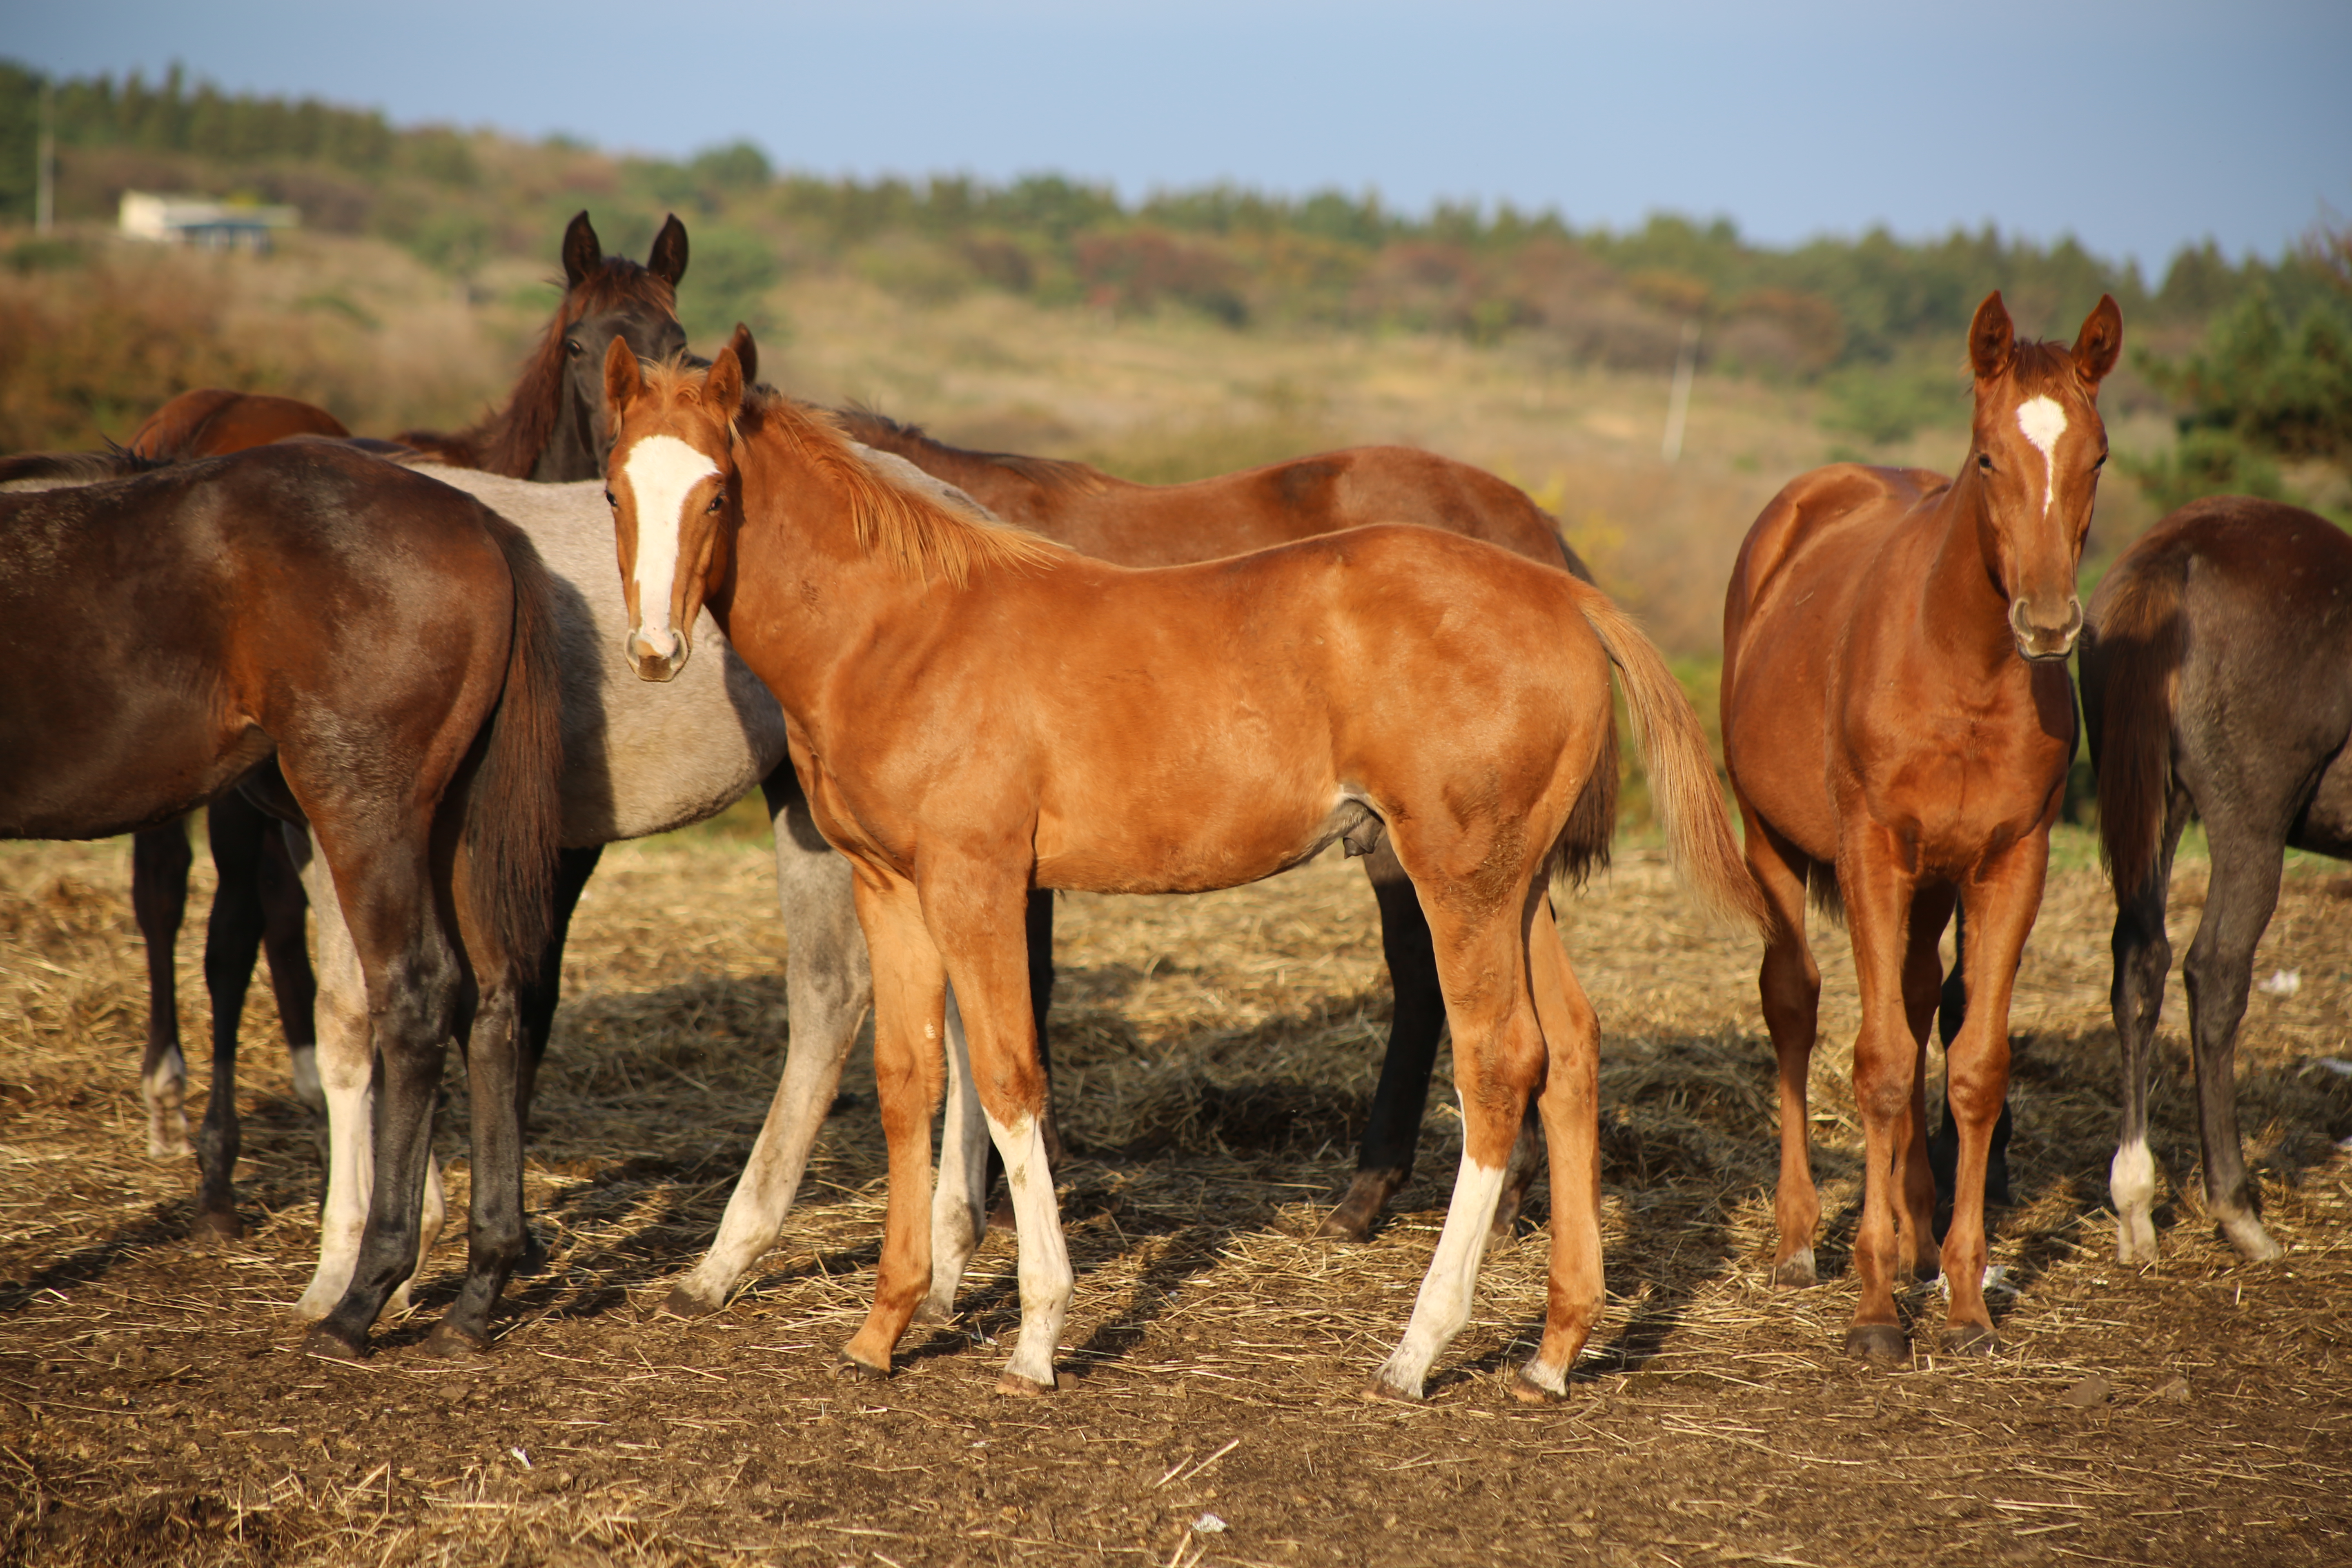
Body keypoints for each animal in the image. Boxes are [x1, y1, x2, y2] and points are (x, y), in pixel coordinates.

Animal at [0, 444, 564, 1363]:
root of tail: (482, 524)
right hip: (452, 824)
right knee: (495, 1003)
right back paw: (477, 1294)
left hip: (363, 806)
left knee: (415, 997)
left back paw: (362, 1297)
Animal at [1722, 291, 2126, 1363]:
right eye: (1986, 457)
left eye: (2098, 456)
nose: (2046, 623)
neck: (1961, 666)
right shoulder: (1870, 850)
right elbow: (1878, 1063)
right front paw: (1871, 1308)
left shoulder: (2009, 863)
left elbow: (1971, 1067)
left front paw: (1962, 1300)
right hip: (1773, 842)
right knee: (1794, 1003)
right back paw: (1798, 1237)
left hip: (1933, 883)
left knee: (1908, 997)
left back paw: (1909, 1233)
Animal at [2088, 496, 2342, 1269]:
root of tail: (2176, 552)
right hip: (2250, 824)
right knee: (2216, 973)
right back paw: (2236, 1208)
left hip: (2159, 806)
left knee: (2140, 965)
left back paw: (2135, 1202)